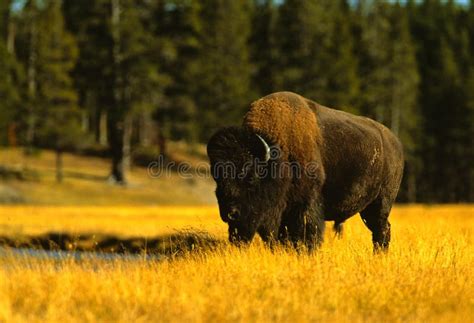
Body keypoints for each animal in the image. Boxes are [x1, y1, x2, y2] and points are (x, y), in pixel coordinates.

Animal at [207, 92, 404, 252]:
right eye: (218, 178)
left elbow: (308, 235)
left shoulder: (305, 207)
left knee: (381, 230)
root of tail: (394, 141)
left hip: (380, 204)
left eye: (251, 177)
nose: (230, 214)